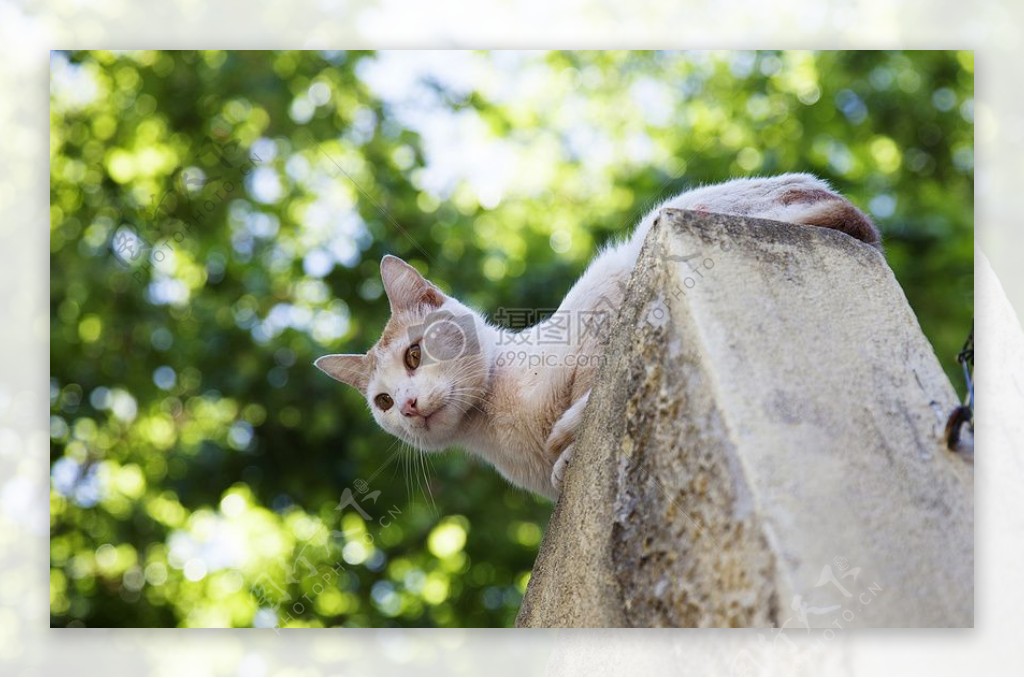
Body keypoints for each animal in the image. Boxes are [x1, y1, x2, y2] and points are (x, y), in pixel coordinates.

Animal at [313, 174, 880, 503]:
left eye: (413, 355)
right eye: (383, 402)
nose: (407, 406)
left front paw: (568, 442)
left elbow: (590, 384)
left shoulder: (601, 301)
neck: (495, 426)